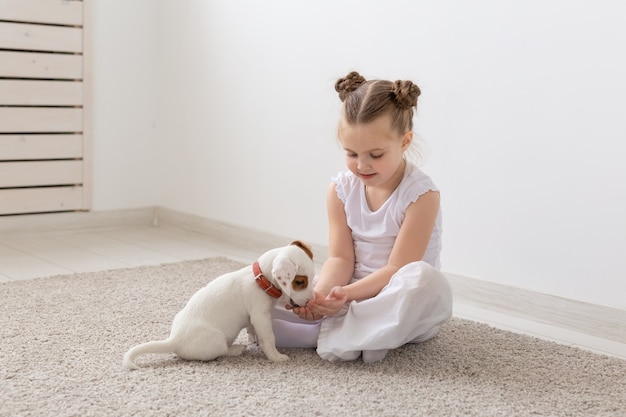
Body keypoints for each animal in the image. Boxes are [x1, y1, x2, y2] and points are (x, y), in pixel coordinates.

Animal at [122, 239, 314, 368]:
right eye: (299, 282)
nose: (310, 301)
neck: (260, 280)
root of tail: (174, 340)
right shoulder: (261, 316)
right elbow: (269, 338)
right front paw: (275, 356)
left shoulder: (254, 319)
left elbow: (253, 330)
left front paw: (254, 339)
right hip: (218, 340)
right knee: (221, 352)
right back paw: (236, 349)